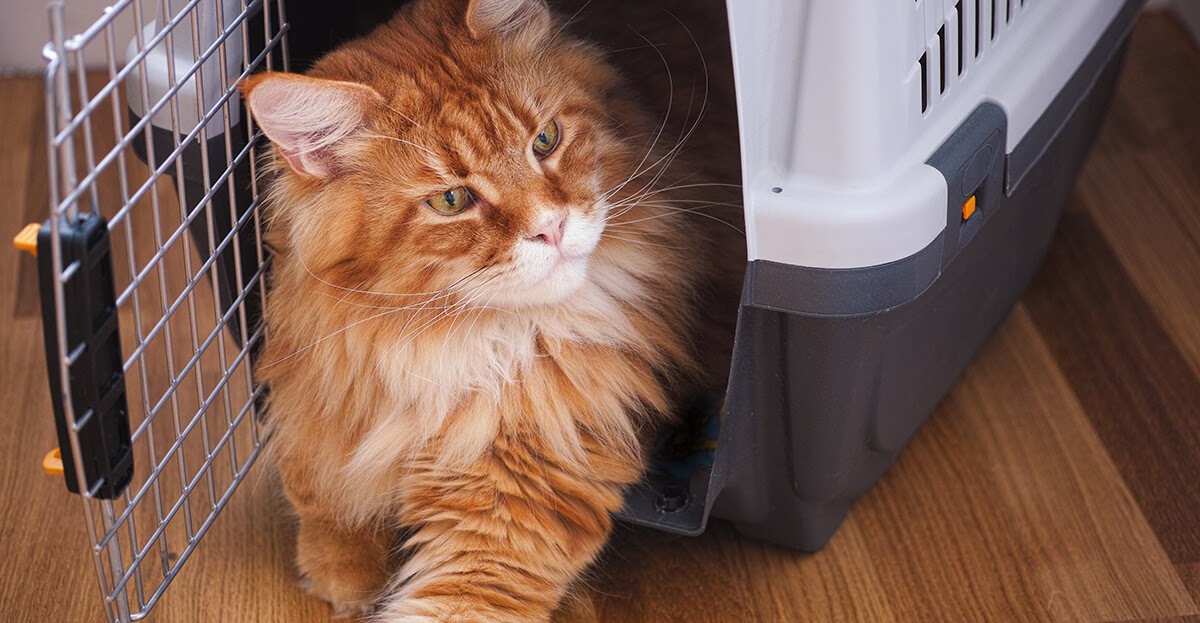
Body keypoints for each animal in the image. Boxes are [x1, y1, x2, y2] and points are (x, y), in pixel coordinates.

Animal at [243, 0, 739, 619]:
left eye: (545, 140)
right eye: (451, 200)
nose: (551, 227)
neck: (445, 348)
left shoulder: (517, 488)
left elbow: (455, 598)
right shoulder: (317, 379)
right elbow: (314, 479)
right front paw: (341, 568)